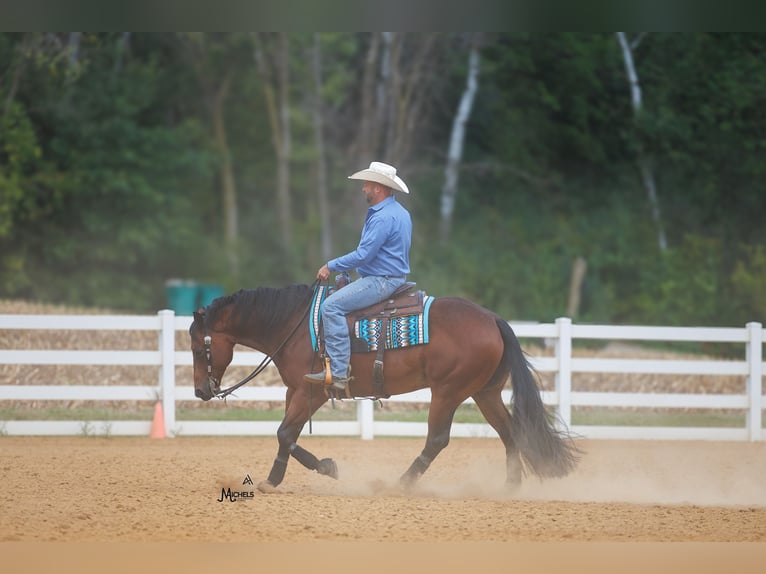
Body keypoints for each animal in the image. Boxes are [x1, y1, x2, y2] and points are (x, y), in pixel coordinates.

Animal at [189, 283, 579, 493]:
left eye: (196, 346)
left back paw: (400, 484)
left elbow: (285, 433)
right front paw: (319, 467)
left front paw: (279, 478)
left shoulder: (311, 393)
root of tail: (493, 319)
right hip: (485, 393)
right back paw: (510, 487)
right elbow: (290, 435)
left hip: (448, 392)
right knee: (511, 434)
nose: (200, 392)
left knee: (437, 440)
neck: (294, 324)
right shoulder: (294, 392)